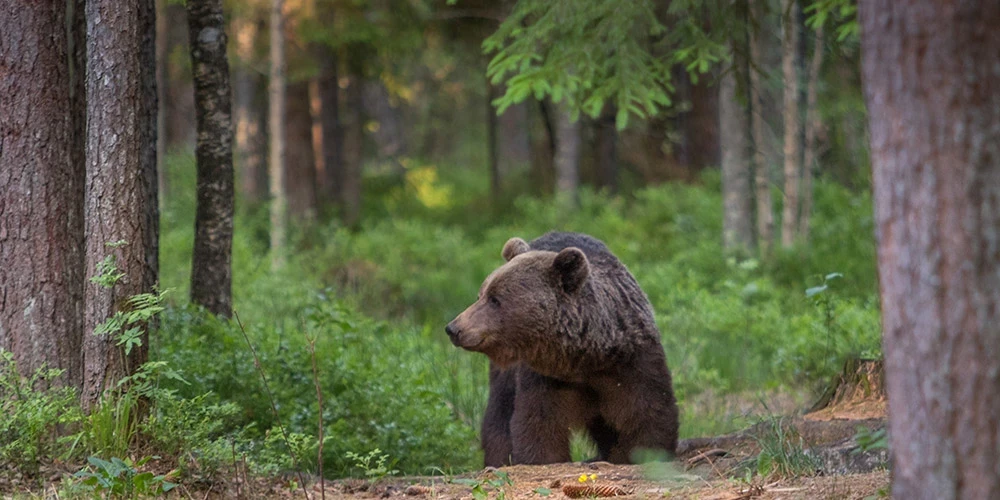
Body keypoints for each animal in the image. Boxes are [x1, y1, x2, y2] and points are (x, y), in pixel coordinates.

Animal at [446, 232, 680, 466]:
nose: (453, 328)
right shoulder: (544, 378)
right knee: (500, 411)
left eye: (495, 299)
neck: (585, 358)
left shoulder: (631, 363)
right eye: (481, 295)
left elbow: (647, 413)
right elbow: (538, 423)